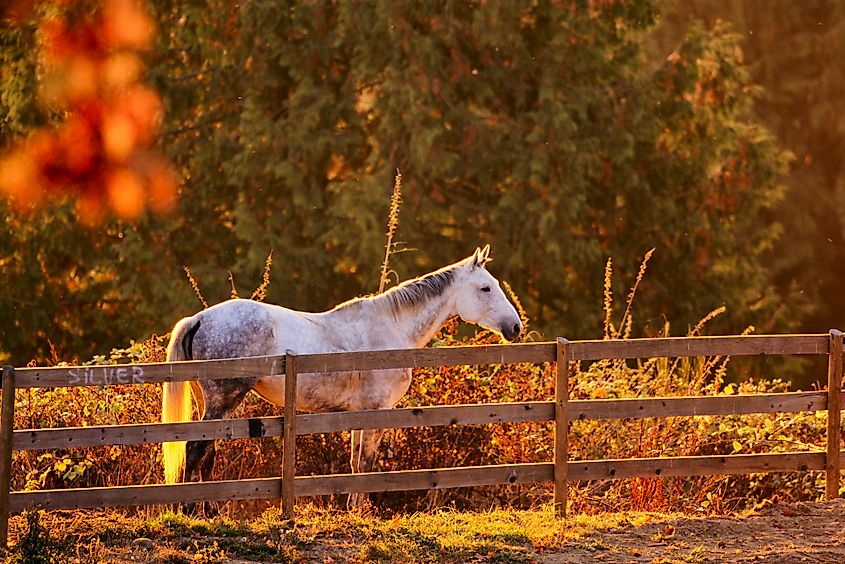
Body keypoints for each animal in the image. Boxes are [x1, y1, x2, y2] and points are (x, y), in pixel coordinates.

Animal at [161, 245, 522, 511]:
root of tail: (199, 319)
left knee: (207, 451)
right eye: (485, 287)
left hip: (213, 403)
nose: (515, 327)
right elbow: (365, 463)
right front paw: (361, 511)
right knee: (197, 447)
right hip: (223, 399)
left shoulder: (356, 414)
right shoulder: (376, 412)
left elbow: (353, 462)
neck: (389, 330)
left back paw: (210, 509)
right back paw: (190, 510)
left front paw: (352, 508)